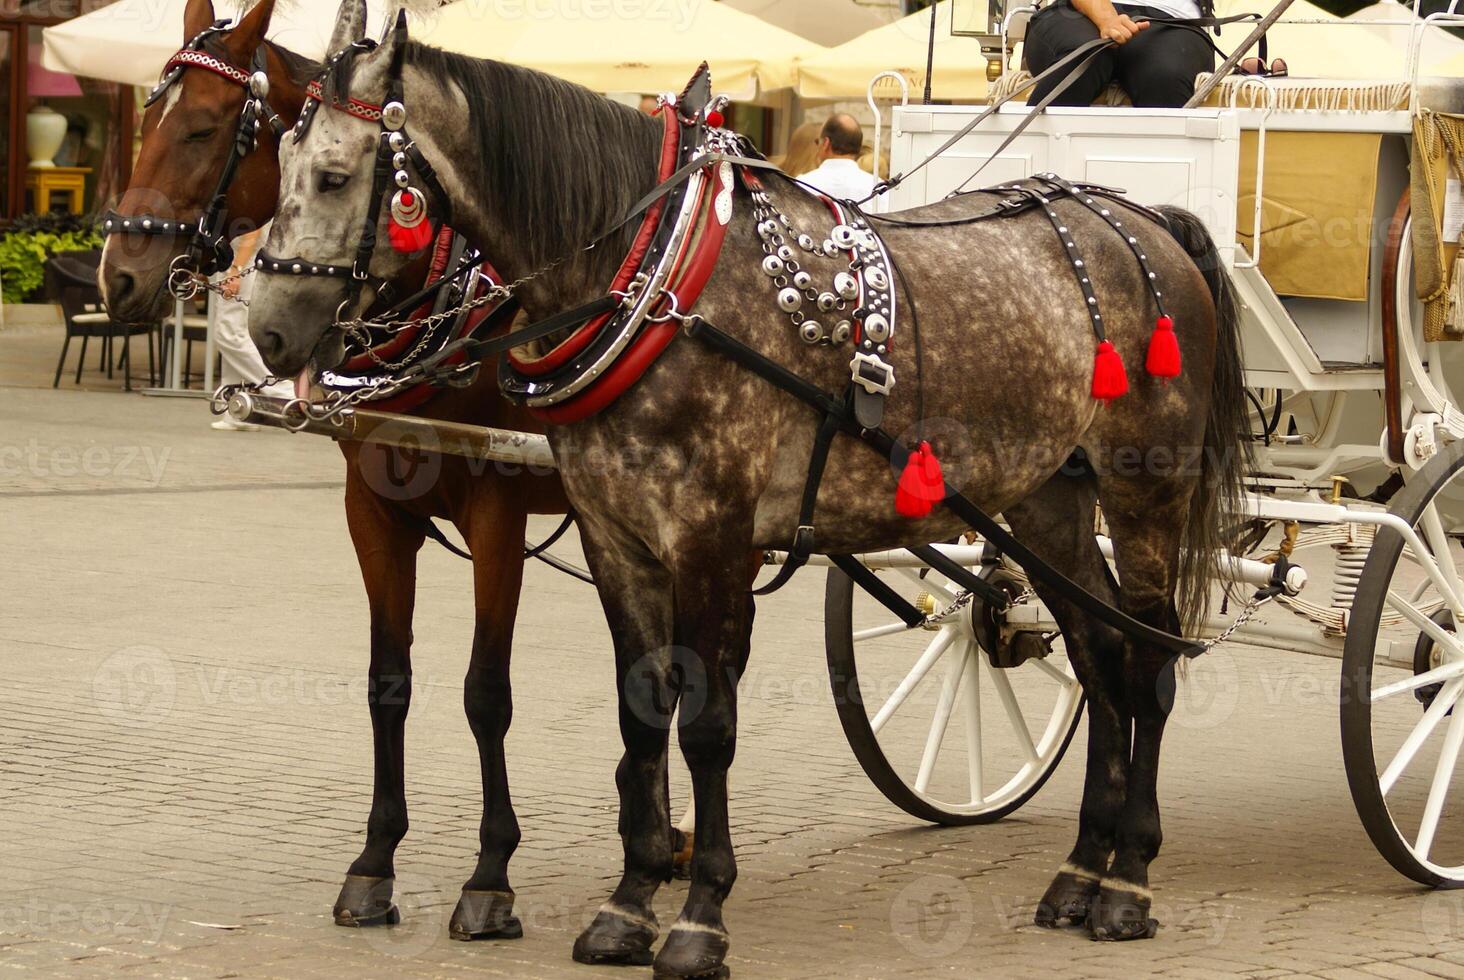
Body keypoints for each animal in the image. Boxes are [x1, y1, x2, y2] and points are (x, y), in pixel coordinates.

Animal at [95, 0, 576, 937]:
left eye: (204, 129)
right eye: (144, 122)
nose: (117, 277)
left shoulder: (497, 517)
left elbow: (485, 693)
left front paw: (490, 875)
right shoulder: (371, 512)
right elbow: (388, 682)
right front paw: (374, 861)